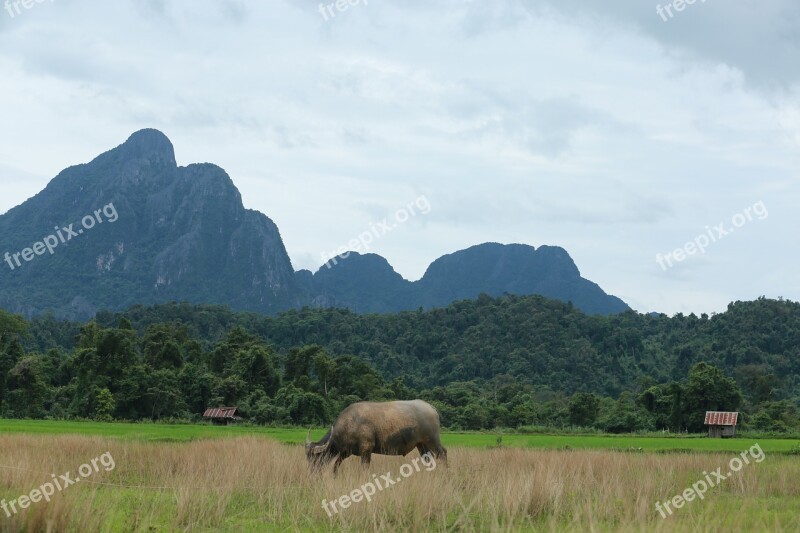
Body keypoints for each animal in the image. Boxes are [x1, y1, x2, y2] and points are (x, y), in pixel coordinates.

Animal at [304, 400, 446, 474]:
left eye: (317, 457)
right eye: (308, 458)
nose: (312, 473)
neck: (351, 423)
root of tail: (431, 408)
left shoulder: (366, 450)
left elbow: (364, 468)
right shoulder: (345, 452)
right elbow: (336, 465)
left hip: (433, 441)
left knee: (442, 453)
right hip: (422, 445)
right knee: (428, 458)